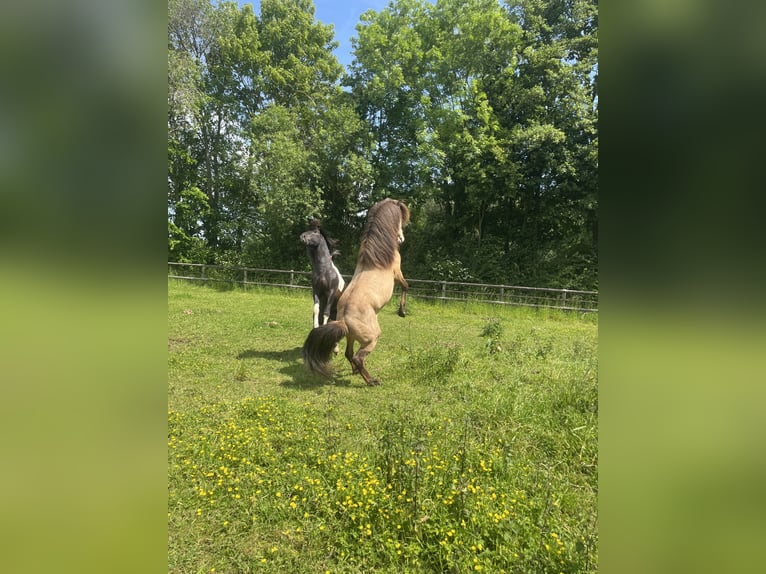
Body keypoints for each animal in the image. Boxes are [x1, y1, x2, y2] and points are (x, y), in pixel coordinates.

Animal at [302, 198, 410, 386]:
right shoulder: (397, 272)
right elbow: (405, 286)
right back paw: (371, 381)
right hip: (372, 338)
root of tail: (343, 320)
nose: (401, 238)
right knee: (358, 357)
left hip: (351, 337)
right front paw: (402, 311)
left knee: (349, 354)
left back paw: (354, 371)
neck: (376, 259)